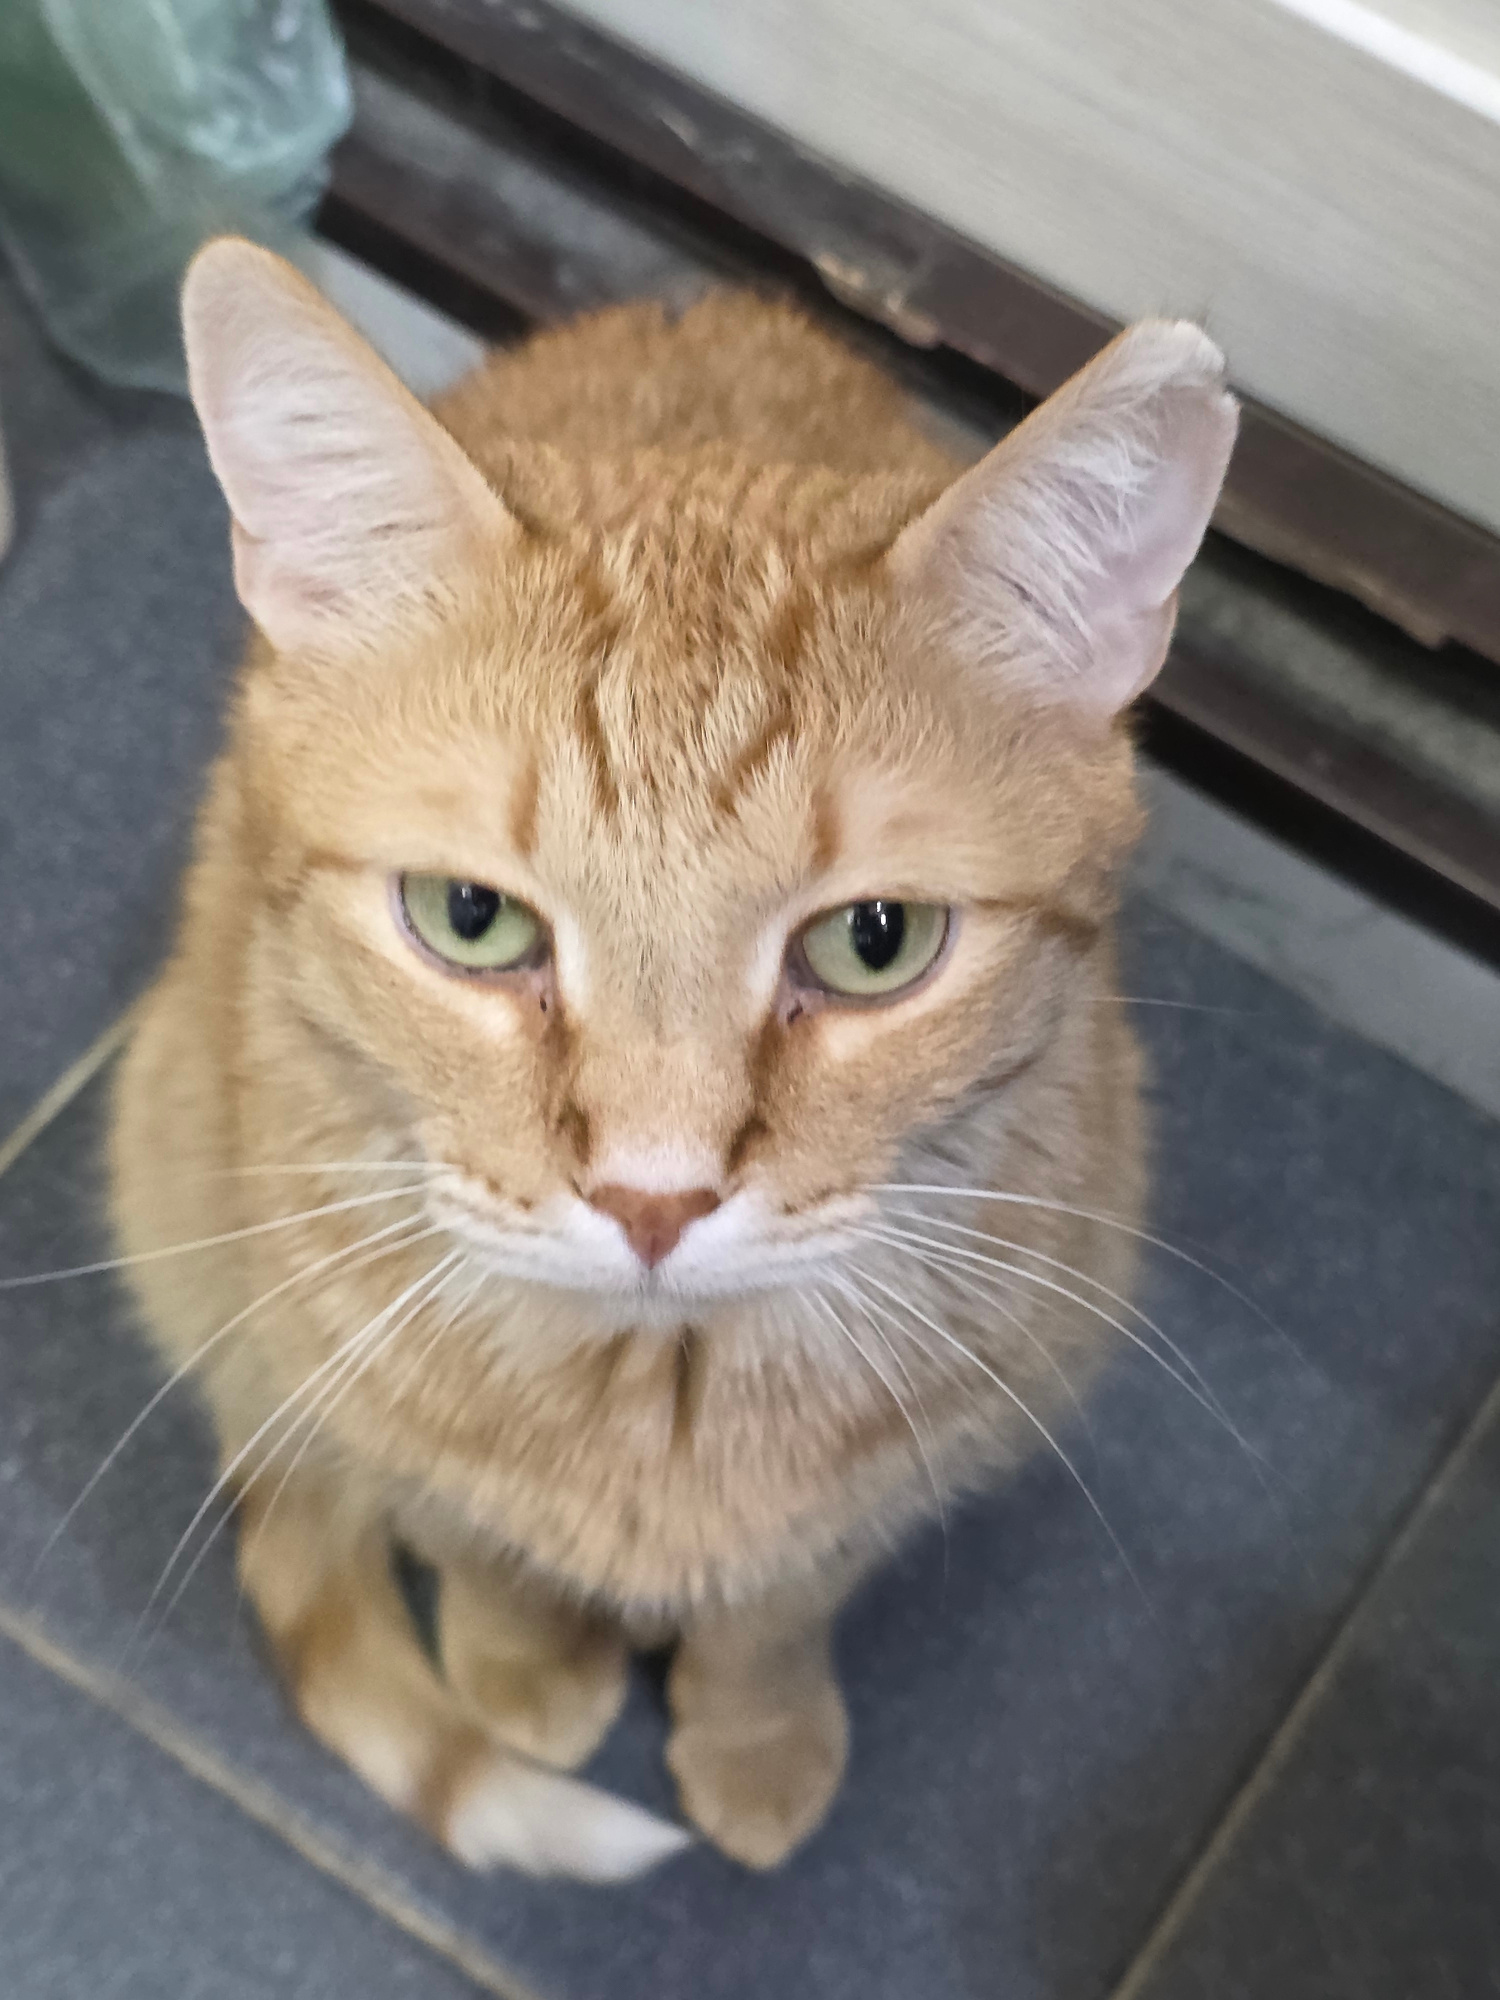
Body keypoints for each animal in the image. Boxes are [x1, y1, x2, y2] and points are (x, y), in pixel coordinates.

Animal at [109, 238, 1236, 1879]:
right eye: (470, 919)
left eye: (875, 942)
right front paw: (525, 1663)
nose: (654, 1199)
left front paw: (758, 1735)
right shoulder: (357, 1376)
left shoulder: (921, 1443)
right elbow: (475, 1537)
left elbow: (781, 1604)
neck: (660, 1394)